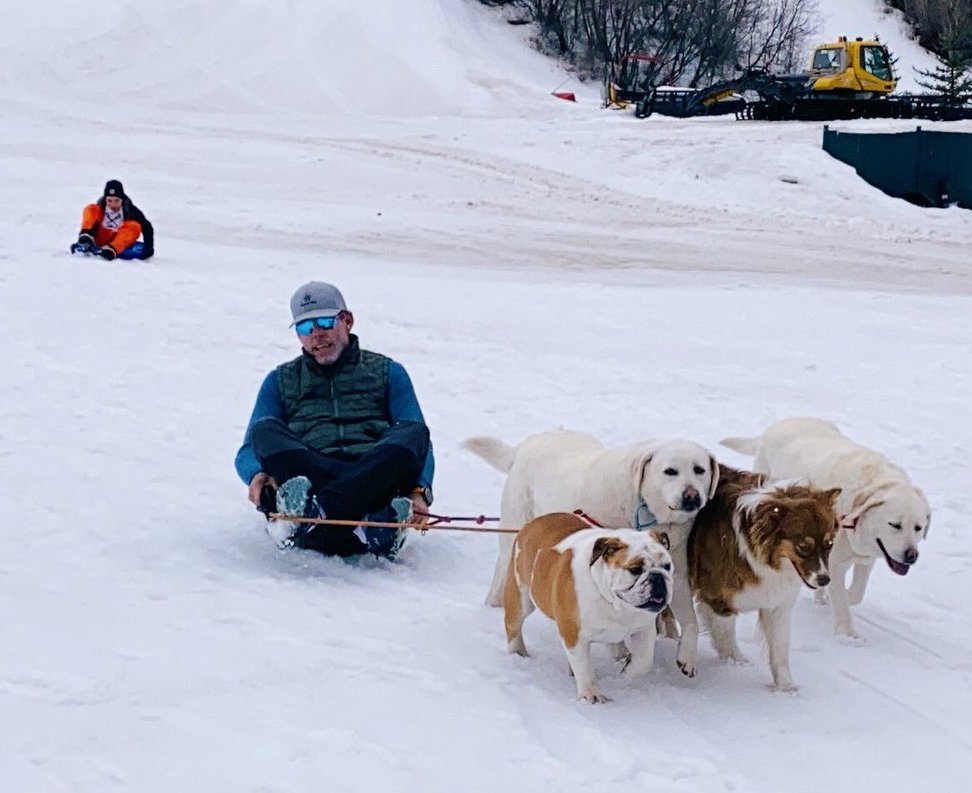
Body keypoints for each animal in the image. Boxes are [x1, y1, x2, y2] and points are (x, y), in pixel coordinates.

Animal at [462, 429, 718, 677]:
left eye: (699, 470)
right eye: (670, 471)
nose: (692, 496)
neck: (644, 509)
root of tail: (526, 444)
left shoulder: (675, 570)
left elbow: (690, 621)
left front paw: (686, 657)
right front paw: (619, 653)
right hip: (514, 528)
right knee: (504, 564)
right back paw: (494, 602)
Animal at [504, 512, 674, 703]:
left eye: (667, 566)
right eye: (635, 569)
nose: (658, 577)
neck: (615, 603)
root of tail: (533, 523)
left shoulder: (644, 629)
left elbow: (644, 660)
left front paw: (628, 671)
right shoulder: (574, 635)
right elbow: (584, 668)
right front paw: (591, 694)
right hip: (520, 596)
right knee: (513, 625)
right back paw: (518, 653)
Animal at [688, 466, 840, 691]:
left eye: (829, 545)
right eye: (803, 548)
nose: (824, 580)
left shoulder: (777, 604)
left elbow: (779, 650)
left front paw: (785, 686)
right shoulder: (718, 599)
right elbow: (726, 634)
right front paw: (734, 662)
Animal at [721, 417, 931, 639]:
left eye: (918, 527)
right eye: (895, 525)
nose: (911, 556)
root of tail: (780, 423)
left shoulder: (867, 558)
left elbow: (856, 593)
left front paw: (842, 596)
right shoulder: (836, 562)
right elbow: (841, 598)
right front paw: (848, 634)